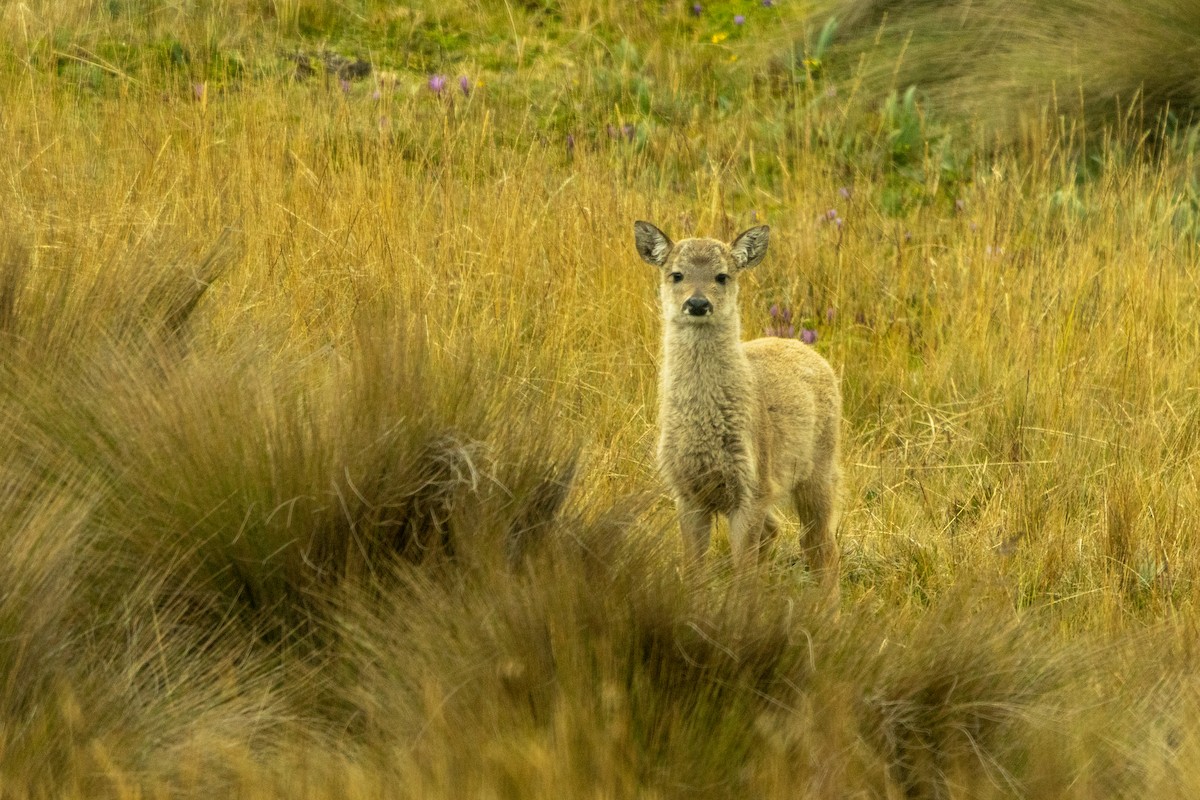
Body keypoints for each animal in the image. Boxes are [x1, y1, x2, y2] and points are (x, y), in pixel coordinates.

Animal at [633, 221, 842, 580]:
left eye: (722, 276)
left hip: (819, 470)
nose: (698, 303)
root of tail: (805, 348)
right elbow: (695, 571)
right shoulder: (687, 493)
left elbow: (743, 575)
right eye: (676, 274)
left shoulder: (752, 490)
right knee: (777, 532)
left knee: (821, 548)